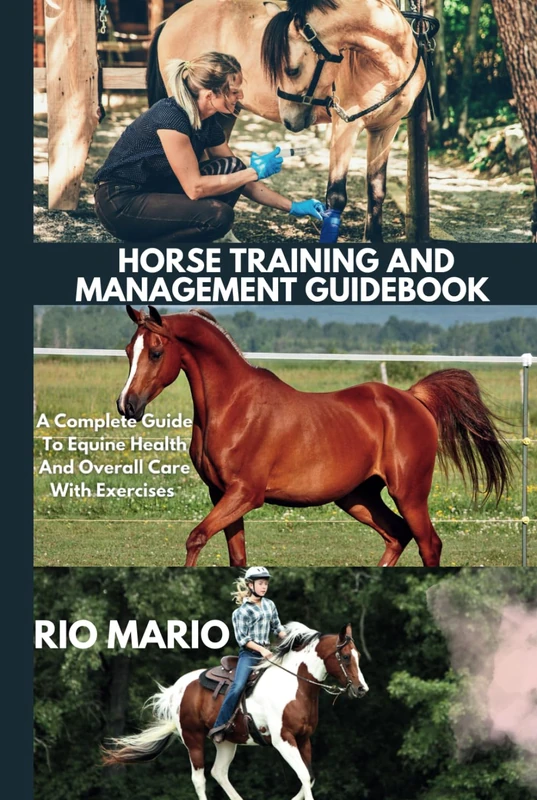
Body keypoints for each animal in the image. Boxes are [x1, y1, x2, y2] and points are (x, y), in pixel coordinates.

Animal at [103, 622, 368, 800]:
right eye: (345, 656)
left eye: (357, 655)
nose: (362, 688)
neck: (294, 685)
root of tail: (178, 688)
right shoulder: (283, 740)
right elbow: (303, 775)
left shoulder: (304, 739)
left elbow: (308, 779)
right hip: (193, 739)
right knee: (200, 779)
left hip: (226, 741)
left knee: (219, 772)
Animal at [116, 306, 511, 568]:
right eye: (128, 351)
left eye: (156, 352)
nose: (127, 405)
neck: (233, 406)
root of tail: (412, 398)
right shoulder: (221, 493)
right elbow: (238, 559)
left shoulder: (245, 494)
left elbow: (196, 537)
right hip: (358, 497)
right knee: (397, 534)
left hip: (409, 493)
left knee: (429, 544)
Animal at [147, 0, 428, 242]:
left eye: (291, 69)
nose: (289, 121)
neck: (389, 63)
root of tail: (170, 20)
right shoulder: (346, 126)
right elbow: (336, 196)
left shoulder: (386, 128)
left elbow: (376, 190)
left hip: (223, 114)